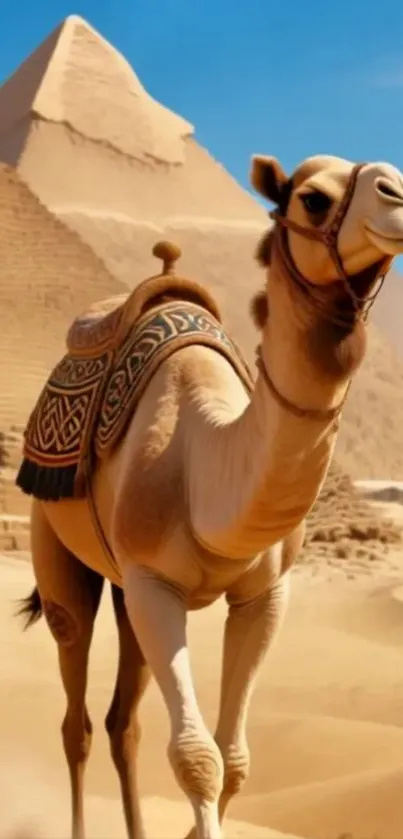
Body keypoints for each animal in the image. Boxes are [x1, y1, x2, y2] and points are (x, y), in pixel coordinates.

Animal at [15, 152, 403, 839]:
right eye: (312, 198)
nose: (397, 195)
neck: (208, 467)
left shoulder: (265, 595)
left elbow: (236, 760)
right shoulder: (155, 587)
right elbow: (198, 759)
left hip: (127, 594)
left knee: (123, 724)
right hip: (60, 554)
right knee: (76, 718)